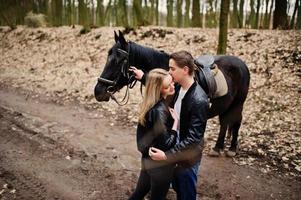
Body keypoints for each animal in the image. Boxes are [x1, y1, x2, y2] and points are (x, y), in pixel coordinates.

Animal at [95, 30, 250, 156]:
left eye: (119, 60)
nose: (98, 91)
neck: (168, 76)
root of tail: (242, 64)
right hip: (226, 105)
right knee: (224, 122)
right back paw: (218, 148)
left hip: (238, 103)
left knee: (236, 121)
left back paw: (232, 149)